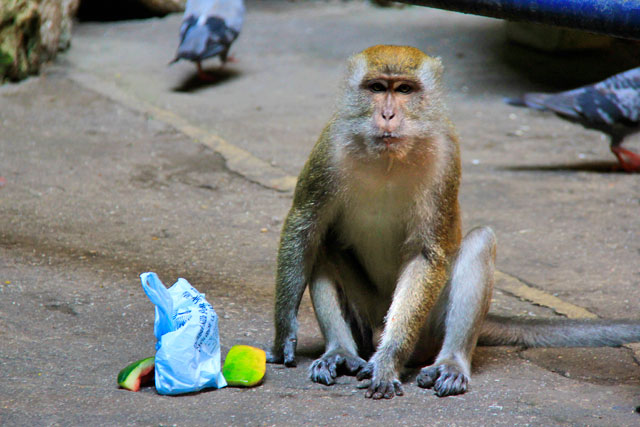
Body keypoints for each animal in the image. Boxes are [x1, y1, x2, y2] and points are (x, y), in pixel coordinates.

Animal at [266, 45, 640, 399]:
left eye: (404, 89)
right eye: (377, 88)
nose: (387, 115)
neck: (389, 159)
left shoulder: (446, 155)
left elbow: (428, 254)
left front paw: (387, 361)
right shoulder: (329, 146)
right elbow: (305, 224)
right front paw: (284, 333)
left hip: (428, 331)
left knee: (479, 243)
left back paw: (451, 362)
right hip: (370, 314)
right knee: (323, 243)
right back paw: (341, 351)